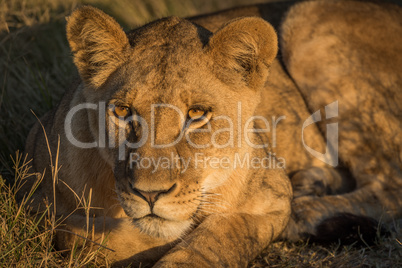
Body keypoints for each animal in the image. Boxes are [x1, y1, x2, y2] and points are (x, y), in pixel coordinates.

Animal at [22, 0, 402, 266]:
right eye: (122, 112)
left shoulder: (270, 198)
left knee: (390, 189)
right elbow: (75, 237)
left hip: (310, 20)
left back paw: (306, 212)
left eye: (197, 115)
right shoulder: (34, 191)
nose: (150, 194)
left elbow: (208, 244)